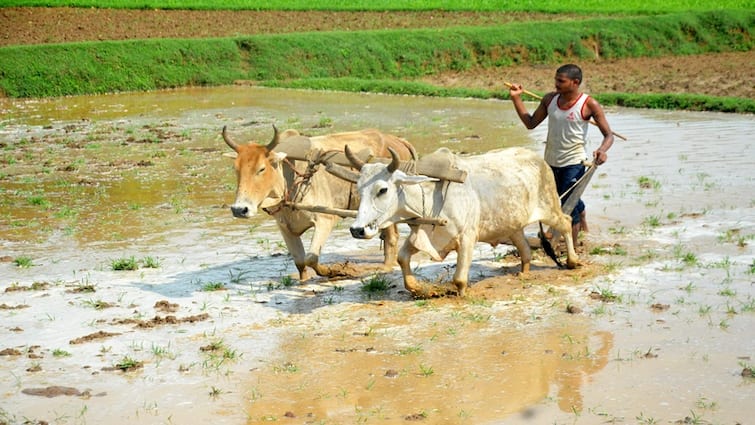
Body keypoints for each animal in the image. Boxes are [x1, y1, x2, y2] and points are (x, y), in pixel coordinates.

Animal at [221, 124, 416, 280]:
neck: (291, 178)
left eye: (261, 169)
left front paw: (336, 271)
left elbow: (311, 258)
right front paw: (304, 282)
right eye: (236, 169)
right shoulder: (284, 227)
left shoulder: (324, 220)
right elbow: (300, 261)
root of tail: (399, 140)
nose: (239, 209)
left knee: (392, 238)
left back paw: (386, 268)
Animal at [346, 145, 580, 294]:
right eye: (358, 189)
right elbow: (402, 258)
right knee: (525, 249)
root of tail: (540, 160)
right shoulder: (422, 234)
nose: (357, 229)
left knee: (566, 222)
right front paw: (416, 288)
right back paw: (524, 272)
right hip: (513, 225)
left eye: (382, 190)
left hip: (550, 208)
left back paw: (573, 261)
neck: (432, 194)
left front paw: (460, 294)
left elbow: (459, 279)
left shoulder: (467, 237)